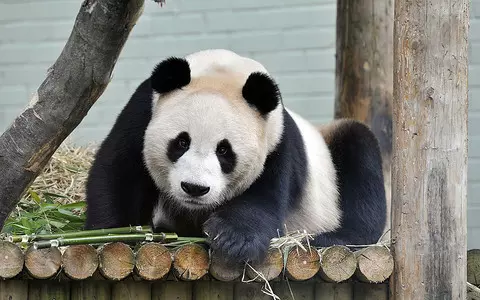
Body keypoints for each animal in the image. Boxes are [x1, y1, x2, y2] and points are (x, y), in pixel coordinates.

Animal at [85, 48, 386, 264]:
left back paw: (331, 238)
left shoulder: (276, 140)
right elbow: (118, 172)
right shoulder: (142, 113)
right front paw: (111, 233)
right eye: (181, 142)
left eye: (224, 151)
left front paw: (232, 239)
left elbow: (264, 196)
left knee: (360, 157)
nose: (194, 188)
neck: (224, 73)